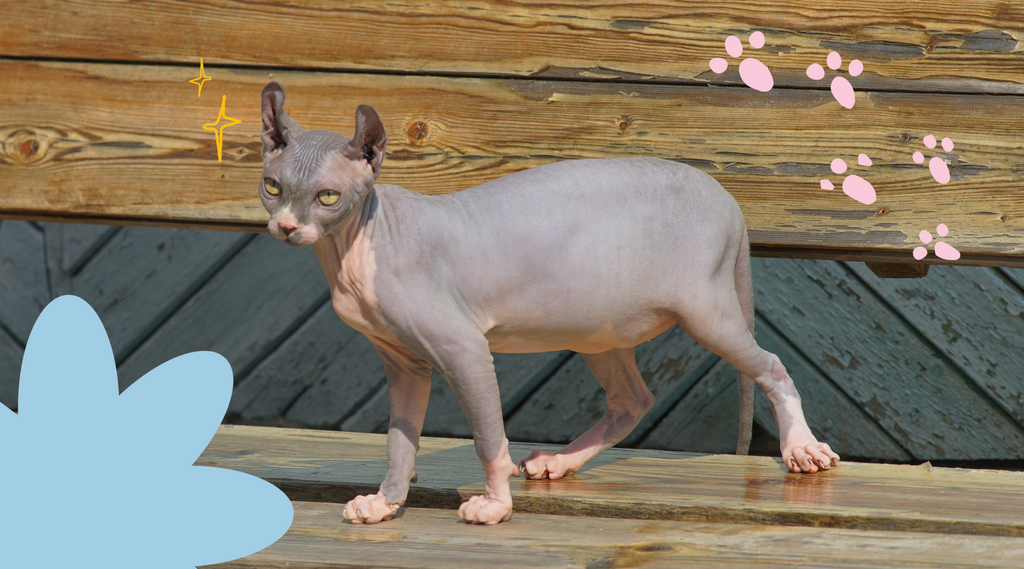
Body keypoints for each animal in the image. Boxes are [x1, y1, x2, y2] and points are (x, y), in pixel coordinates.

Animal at [258, 82, 839, 528]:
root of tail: (726, 196)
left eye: (327, 197)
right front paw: (385, 502)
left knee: (771, 364)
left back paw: (801, 449)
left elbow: (488, 436)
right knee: (632, 400)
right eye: (272, 187)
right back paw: (560, 462)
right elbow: (400, 442)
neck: (356, 248)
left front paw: (494, 505)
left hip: (705, 311)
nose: (285, 228)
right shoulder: (404, 362)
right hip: (598, 328)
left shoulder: (463, 348)